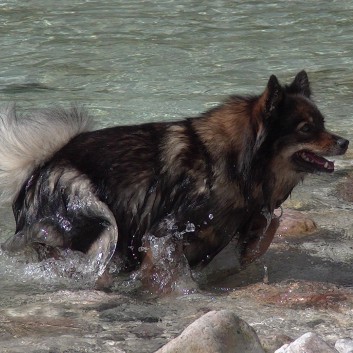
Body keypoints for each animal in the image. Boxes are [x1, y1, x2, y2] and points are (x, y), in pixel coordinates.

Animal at [0, 70, 346, 290]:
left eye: (322, 123)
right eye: (306, 128)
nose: (344, 142)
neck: (236, 163)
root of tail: (37, 169)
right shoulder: (165, 231)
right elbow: (169, 270)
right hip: (92, 207)